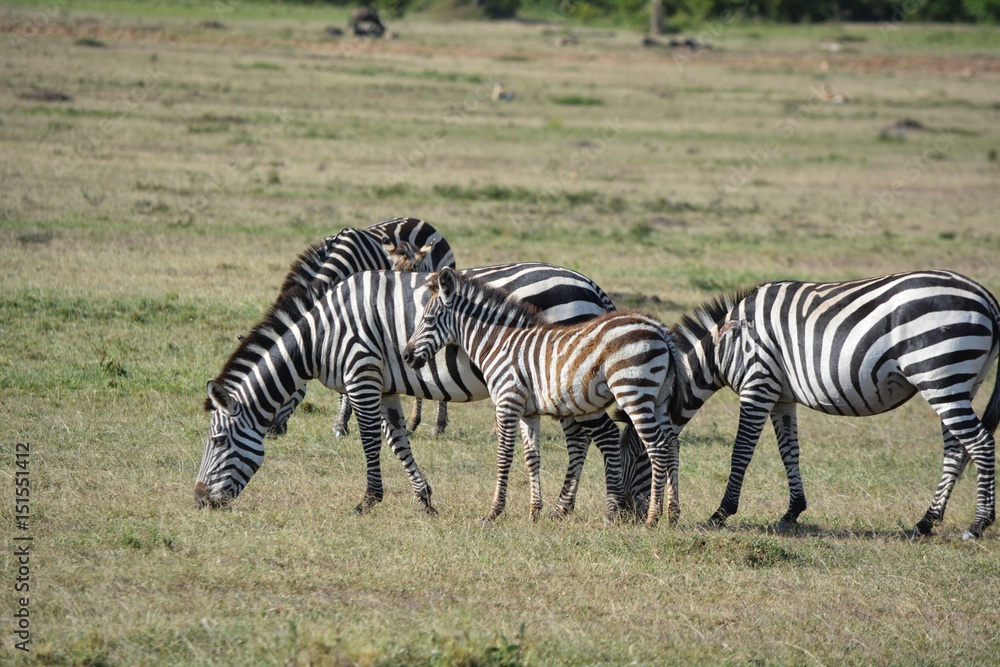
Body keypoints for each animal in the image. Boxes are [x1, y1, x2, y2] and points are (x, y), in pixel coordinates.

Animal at [196, 264, 648, 520]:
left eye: (217, 441)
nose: (199, 500)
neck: (322, 333)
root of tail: (591, 285)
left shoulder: (361, 373)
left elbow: (369, 440)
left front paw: (368, 500)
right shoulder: (386, 385)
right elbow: (397, 441)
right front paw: (424, 499)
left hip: (569, 380)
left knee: (601, 439)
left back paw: (605, 508)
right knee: (582, 442)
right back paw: (562, 509)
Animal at [402, 268, 684, 528]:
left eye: (427, 319)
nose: (405, 355)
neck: (499, 343)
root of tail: (659, 329)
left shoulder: (507, 401)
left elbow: (504, 455)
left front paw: (493, 512)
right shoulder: (528, 412)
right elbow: (532, 458)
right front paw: (534, 512)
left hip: (632, 392)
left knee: (656, 446)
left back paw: (652, 518)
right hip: (658, 401)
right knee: (671, 443)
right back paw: (671, 515)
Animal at [620, 268, 996, 540]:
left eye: (636, 459)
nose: (626, 516)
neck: (725, 348)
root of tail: (988, 298)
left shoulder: (757, 385)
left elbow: (741, 451)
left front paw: (721, 513)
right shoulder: (781, 397)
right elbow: (790, 451)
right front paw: (793, 511)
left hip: (940, 373)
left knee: (979, 443)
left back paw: (977, 525)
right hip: (960, 381)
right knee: (956, 448)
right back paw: (926, 522)